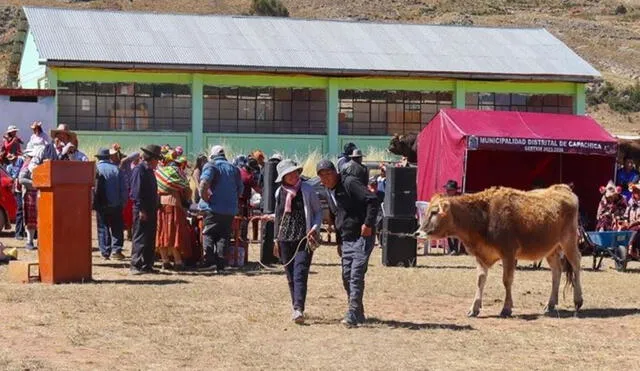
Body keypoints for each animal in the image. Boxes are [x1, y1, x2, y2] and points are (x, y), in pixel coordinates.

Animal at [418, 185, 584, 318]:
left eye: (434, 212)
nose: (417, 233)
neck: (485, 216)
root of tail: (562, 188)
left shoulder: (508, 254)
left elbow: (507, 280)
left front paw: (506, 308)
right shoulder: (481, 256)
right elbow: (480, 280)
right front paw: (474, 308)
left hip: (568, 242)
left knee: (576, 264)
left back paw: (578, 300)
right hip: (551, 249)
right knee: (556, 271)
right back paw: (550, 304)